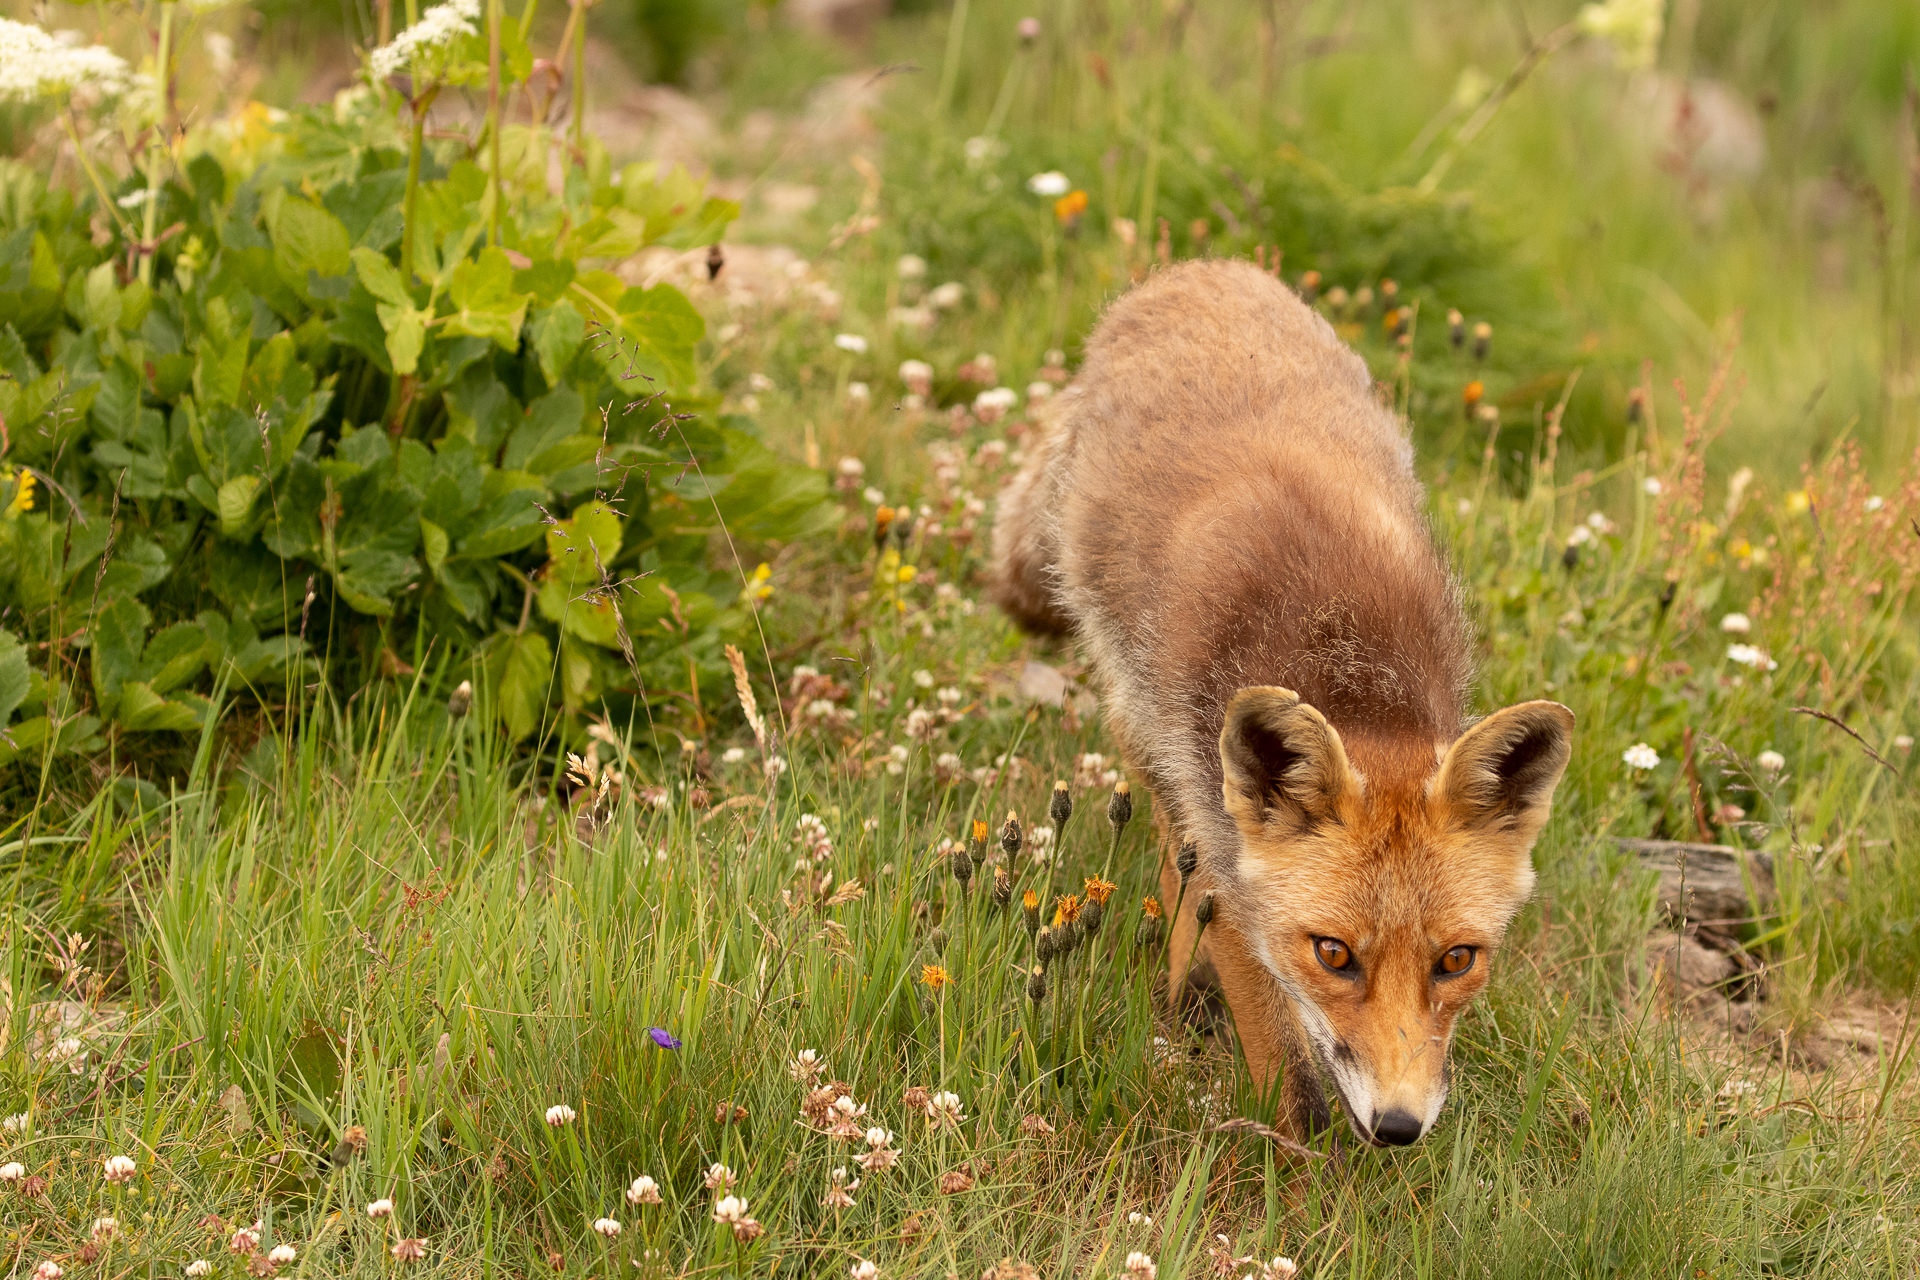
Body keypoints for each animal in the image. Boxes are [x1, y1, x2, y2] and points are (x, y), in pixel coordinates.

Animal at [990, 258, 1574, 1148]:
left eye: (1457, 960)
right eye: (1333, 954)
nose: (1398, 1126)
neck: (1348, 664)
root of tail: (1198, 270)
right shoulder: (1230, 856)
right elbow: (1290, 1074)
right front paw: (1301, 1172)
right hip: (1146, 711)